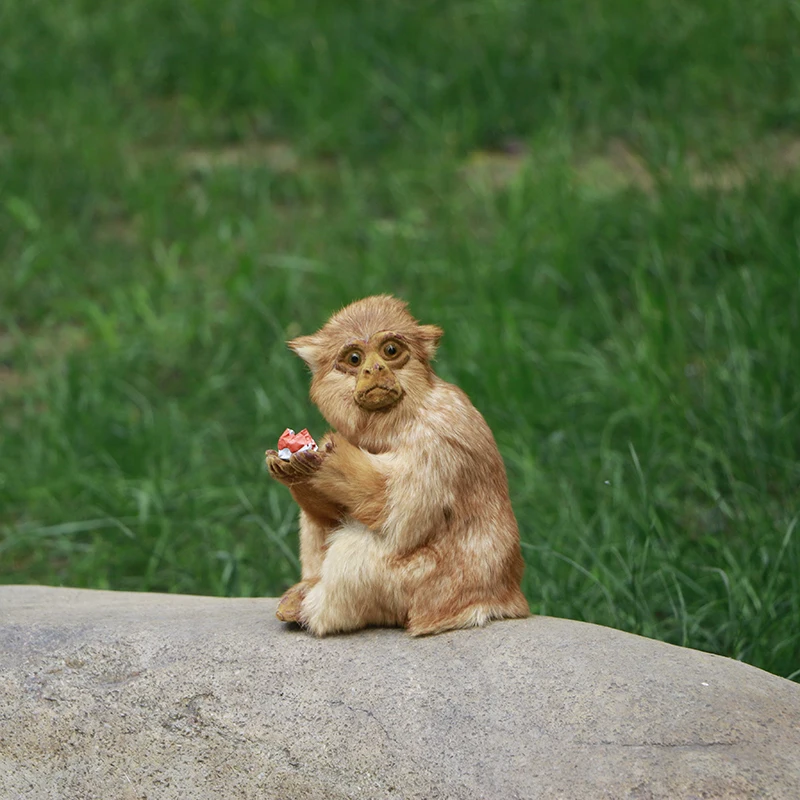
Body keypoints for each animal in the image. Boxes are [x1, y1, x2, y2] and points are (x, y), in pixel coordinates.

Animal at [268, 296, 532, 636]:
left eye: (390, 351)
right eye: (355, 359)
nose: (375, 368)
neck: (400, 416)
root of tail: (506, 600)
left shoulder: (439, 435)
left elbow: (401, 519)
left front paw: (328, 460)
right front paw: (296, 471)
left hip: (426, 592)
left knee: (356, 549)